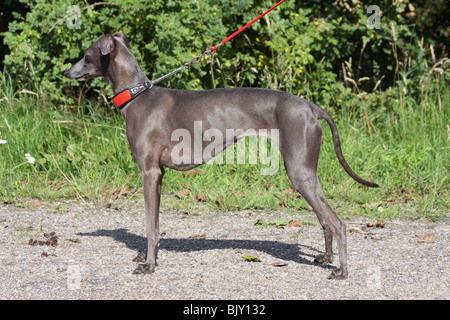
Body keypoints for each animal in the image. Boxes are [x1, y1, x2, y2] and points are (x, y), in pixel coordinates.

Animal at [65, 31, 378, 278]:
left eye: (85, 55)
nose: (66, 73)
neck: (137, 95)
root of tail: (311, 108)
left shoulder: (150, 173)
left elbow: (151, 226)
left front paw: (150, 266)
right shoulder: (160, 175)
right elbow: (155, 225)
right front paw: (147, 256)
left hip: (300, 172)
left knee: (338, 222)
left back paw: (341, 270)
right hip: (307, 173)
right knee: (325, 220)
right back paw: (326, 258)